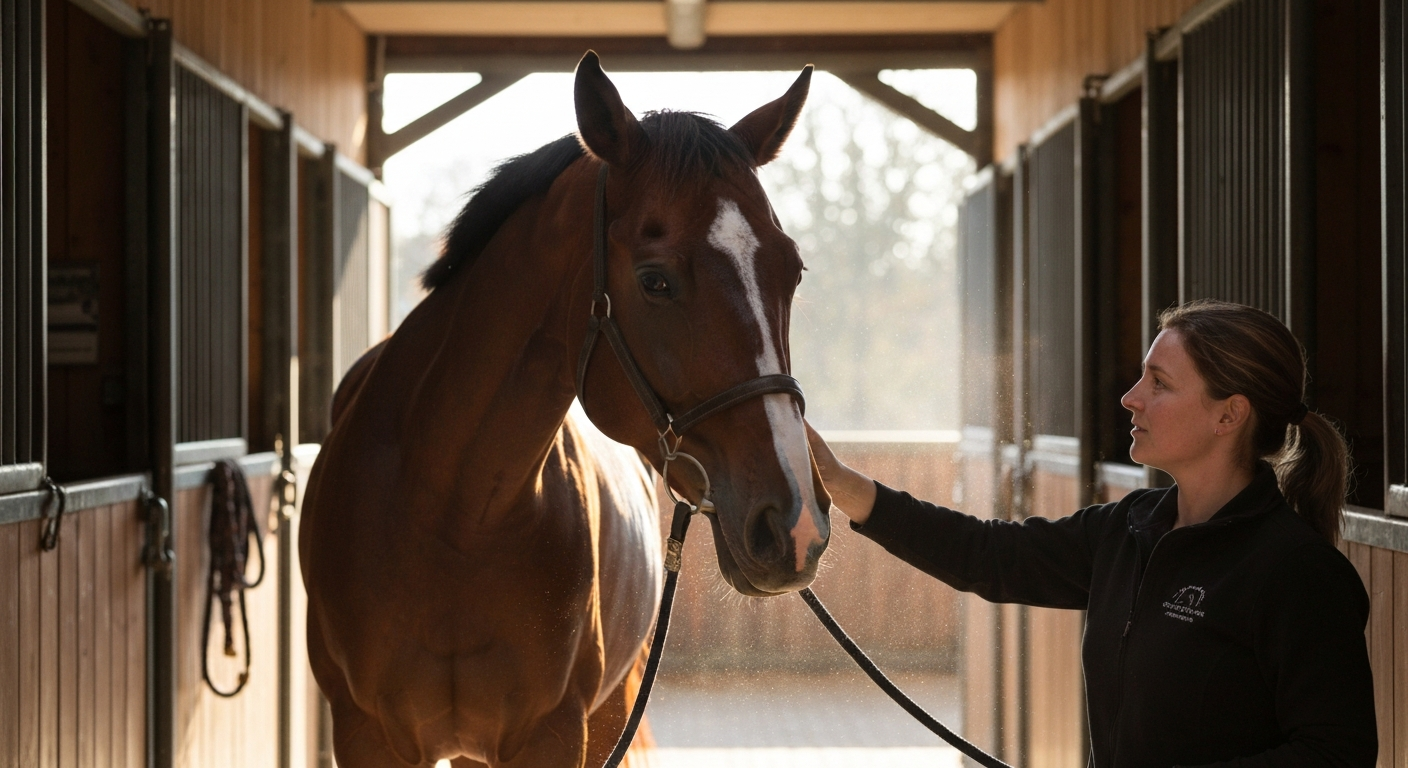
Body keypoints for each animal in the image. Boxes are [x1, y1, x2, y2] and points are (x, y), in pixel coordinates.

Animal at [299, 52, 832, 767]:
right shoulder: (366, 734)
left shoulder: (556, 734)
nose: (796, 523)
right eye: (654, 280)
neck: (450, 519)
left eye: (791, 271)